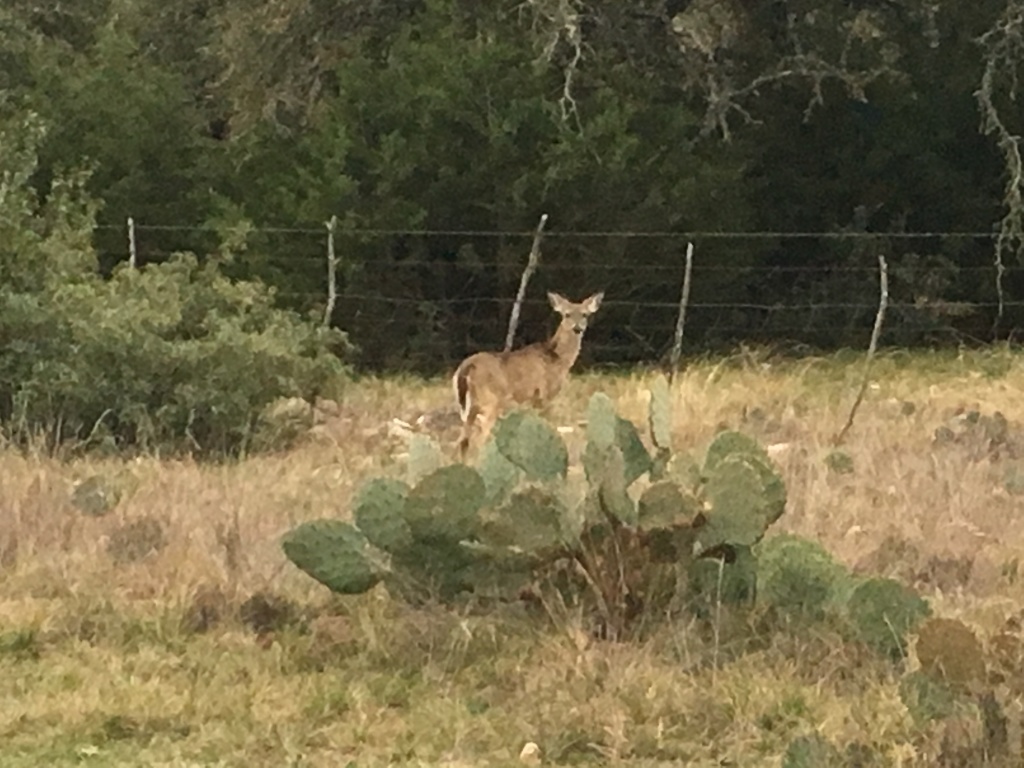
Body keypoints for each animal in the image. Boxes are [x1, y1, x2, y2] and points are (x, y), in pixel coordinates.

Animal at [452, 291, 604, 460]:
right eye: (567, 314)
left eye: (584, 314)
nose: (577, 328)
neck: (558, 359)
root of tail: (467, 366)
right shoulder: (545, 394)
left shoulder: (532, 400)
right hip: (492, 401)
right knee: (478, 439)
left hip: (470, 406)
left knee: (462, 441)